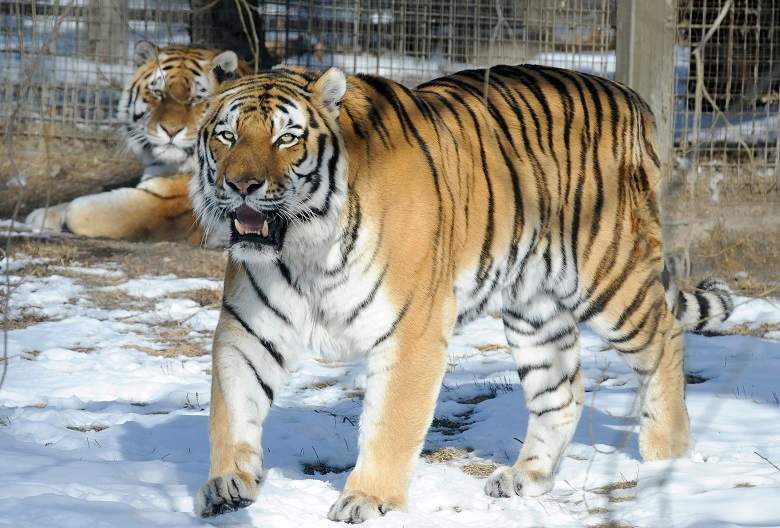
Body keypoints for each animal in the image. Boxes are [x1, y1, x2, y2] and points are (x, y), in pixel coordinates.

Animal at [24, 41, 246, 245]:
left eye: (196, 99)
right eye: (158, 93)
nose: (171, 130)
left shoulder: (164, 206)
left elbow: (86, 210)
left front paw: (59, 215)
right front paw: (40, 214)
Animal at [189, 62, 734, 522]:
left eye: (287, 138)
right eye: (226, 135)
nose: (242, 185)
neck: (304, 247)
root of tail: (630, 96)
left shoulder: (412, 330)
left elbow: (390, 425)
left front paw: (367, 499)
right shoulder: (247, 329)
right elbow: (232, 409)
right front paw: (227, 484)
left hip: (610, 274)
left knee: (665, 338)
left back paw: (666, 455)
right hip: (534, 309)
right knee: (561, 392)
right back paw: (526, 477)